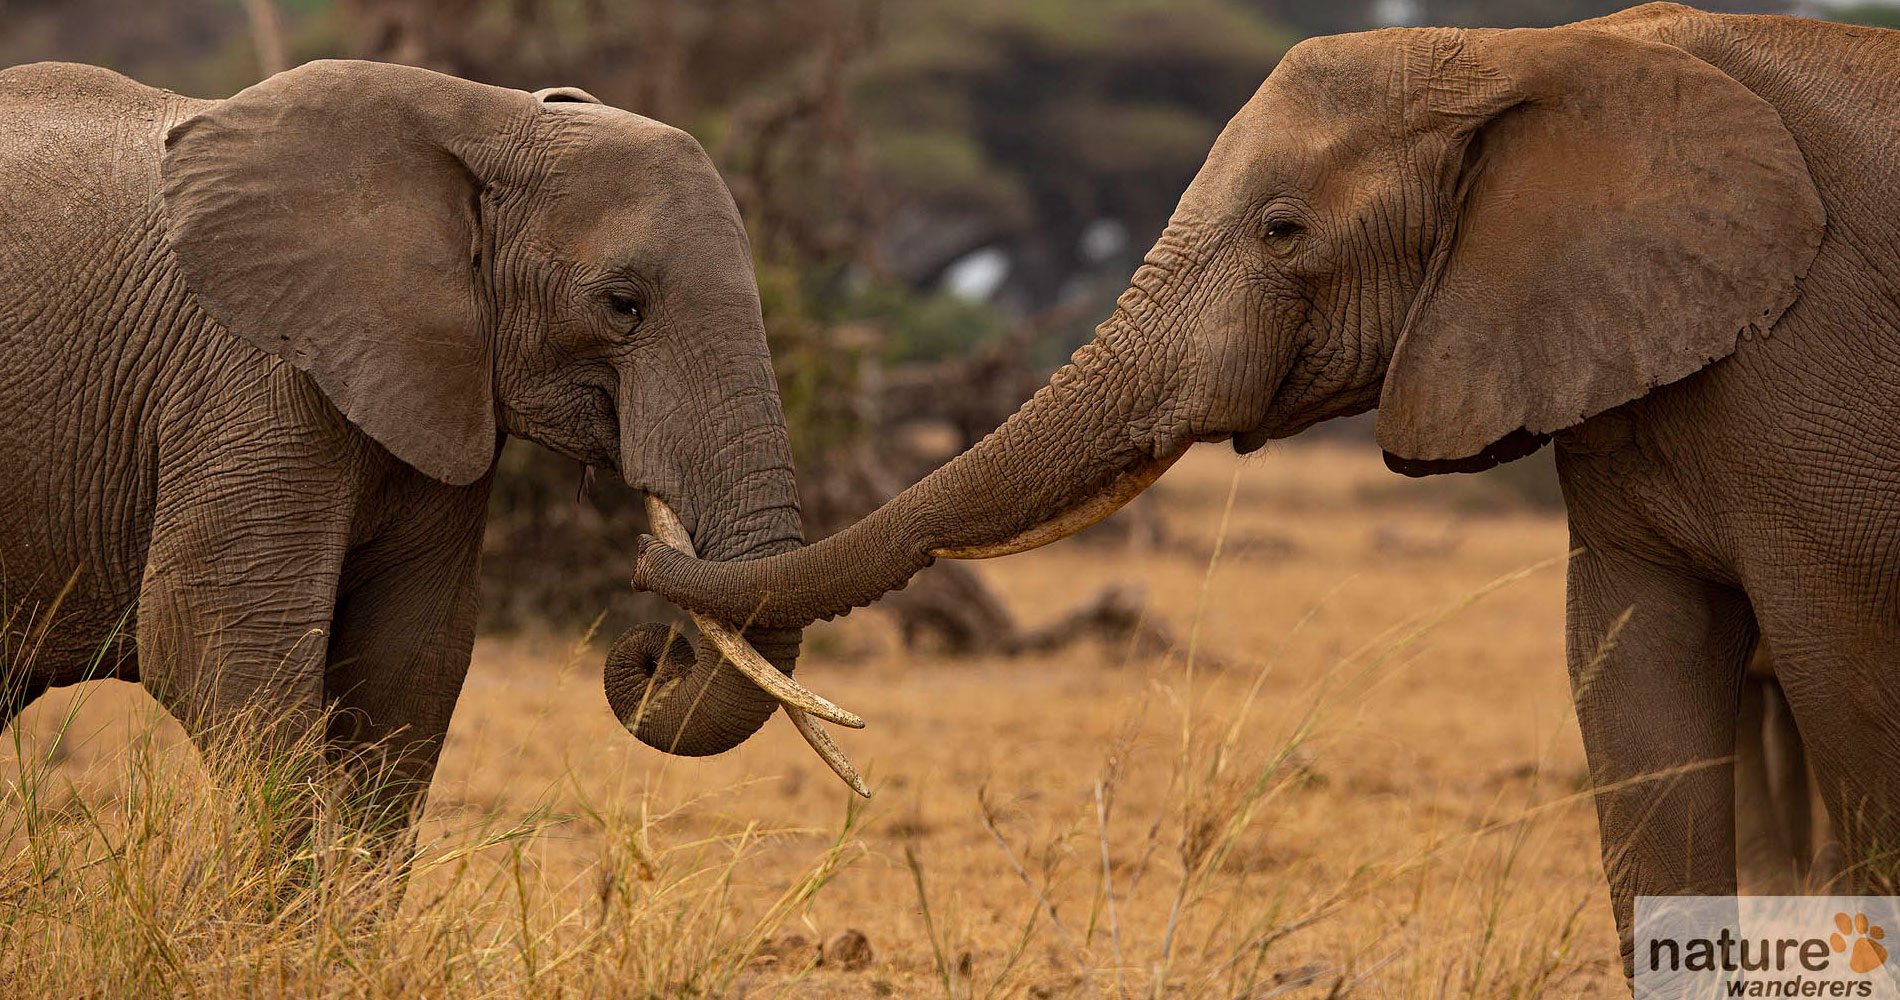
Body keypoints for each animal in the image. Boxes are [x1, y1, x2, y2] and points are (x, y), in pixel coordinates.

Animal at [0, 60, 809, 847]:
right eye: (623, 304)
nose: (653, 642)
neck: (487, 118)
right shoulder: (248, 380)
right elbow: (219, 647)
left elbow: (410, 665)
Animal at [634, 3, 1900, 980]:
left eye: (1282, 229)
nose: (649, 599)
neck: (1535, 53)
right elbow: (1636, 689)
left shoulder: (1811, 367)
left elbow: (1849, 695)